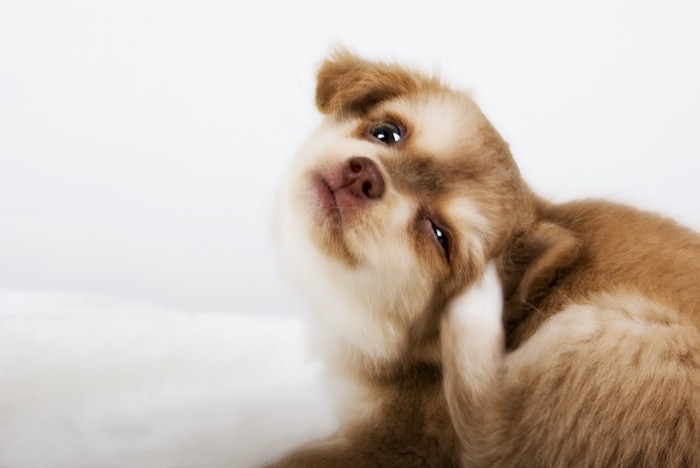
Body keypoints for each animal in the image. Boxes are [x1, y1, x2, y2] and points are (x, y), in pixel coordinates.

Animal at [266, 49, 696, 466]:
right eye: (385, 132)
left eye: (439, 237)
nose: (364, 175)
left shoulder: (397, 445)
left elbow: (298, 459)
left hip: (612, 329)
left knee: (490, 436)